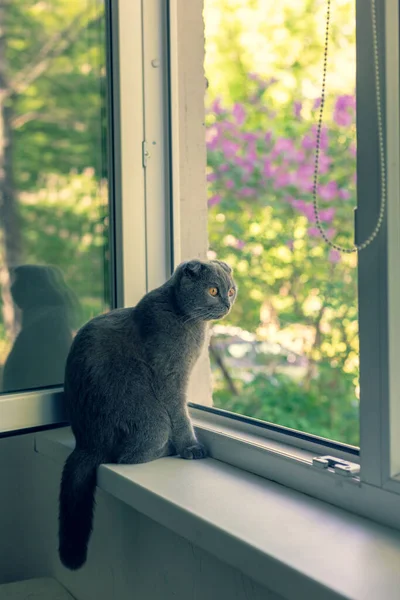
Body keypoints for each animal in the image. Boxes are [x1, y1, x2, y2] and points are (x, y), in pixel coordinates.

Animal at [57, 256, 236, 568]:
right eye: (213, 291)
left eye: (231, 291)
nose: (227, 303)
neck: (185, 318)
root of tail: (86, 444)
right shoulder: (170, 377)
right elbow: (181, 415)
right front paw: (191, 447)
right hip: (152, 418)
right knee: (127, 457)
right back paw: (168, 449)